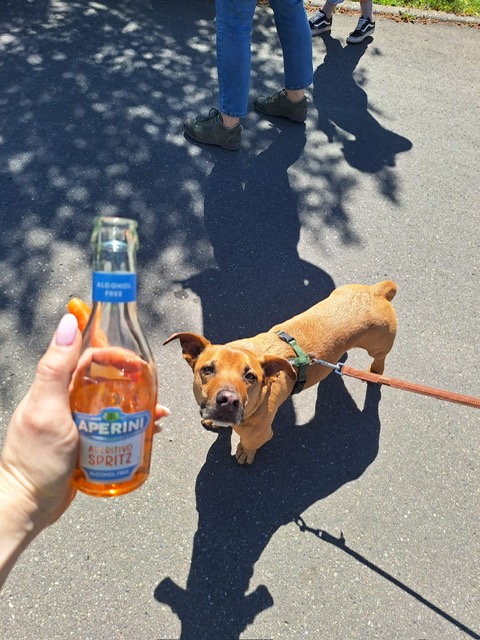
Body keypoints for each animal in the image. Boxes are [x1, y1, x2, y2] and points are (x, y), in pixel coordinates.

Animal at [164, 281, 398, 465]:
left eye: (250, 376)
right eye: (207, 369)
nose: (228, 400)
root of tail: (377, 291)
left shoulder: (260, 434)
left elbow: (248, 444)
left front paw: (244, 453)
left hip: (379, 345)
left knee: (381, 357)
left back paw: (376, 372)